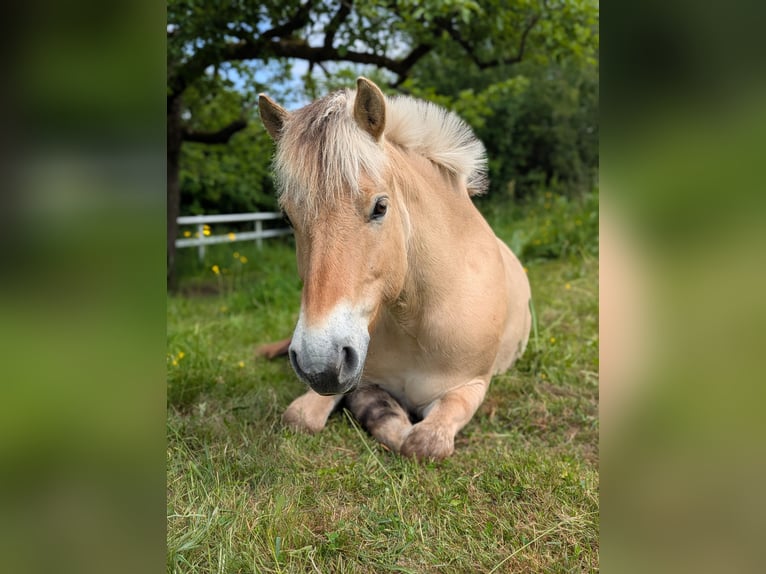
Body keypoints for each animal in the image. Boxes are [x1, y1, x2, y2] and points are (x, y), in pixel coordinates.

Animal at [258, 77, 531, 460]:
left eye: (380, 206)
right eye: (287, 217)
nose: (319, 362)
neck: (415, 320)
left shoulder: (470, 385)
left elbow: (422, 443)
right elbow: (304, 417)